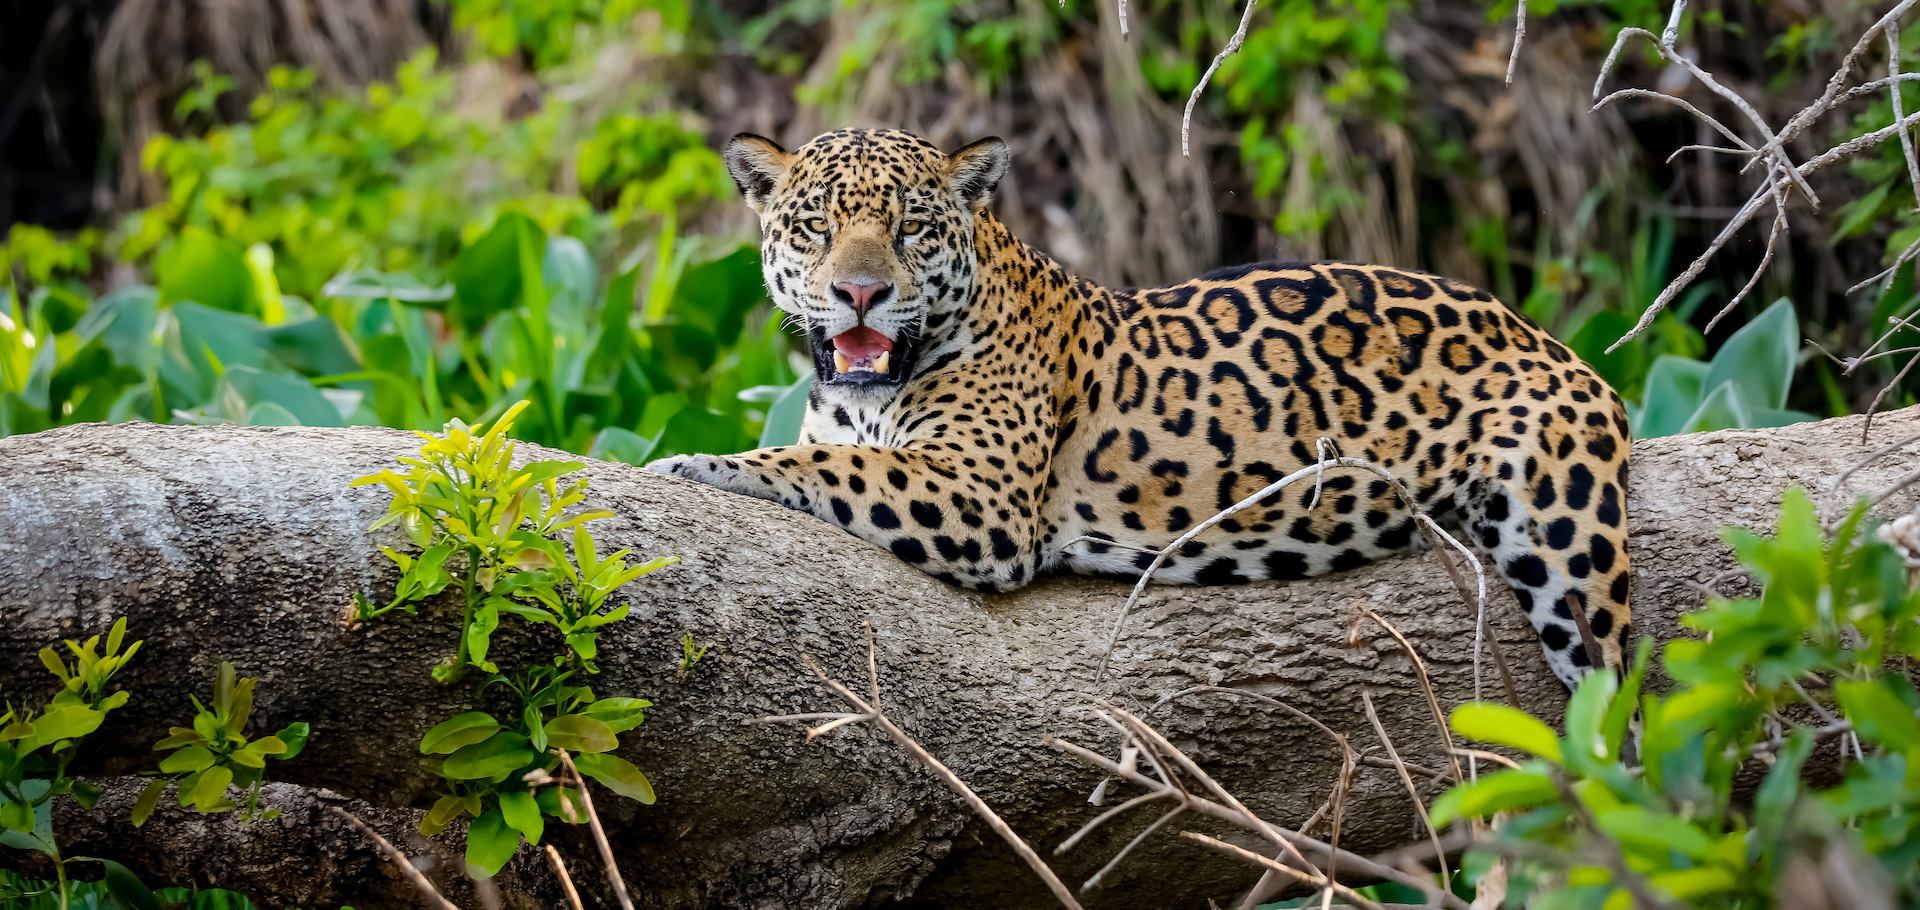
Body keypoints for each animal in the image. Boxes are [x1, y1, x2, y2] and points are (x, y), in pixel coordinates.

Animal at [647, 128, 1633, 688]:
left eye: (912, 230)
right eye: (815, 227)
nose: (859, 294)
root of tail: (1545, 333)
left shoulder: (982, 496)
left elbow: (825, 462)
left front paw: (696, 463)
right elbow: (829, 450)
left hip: (1569, 544)